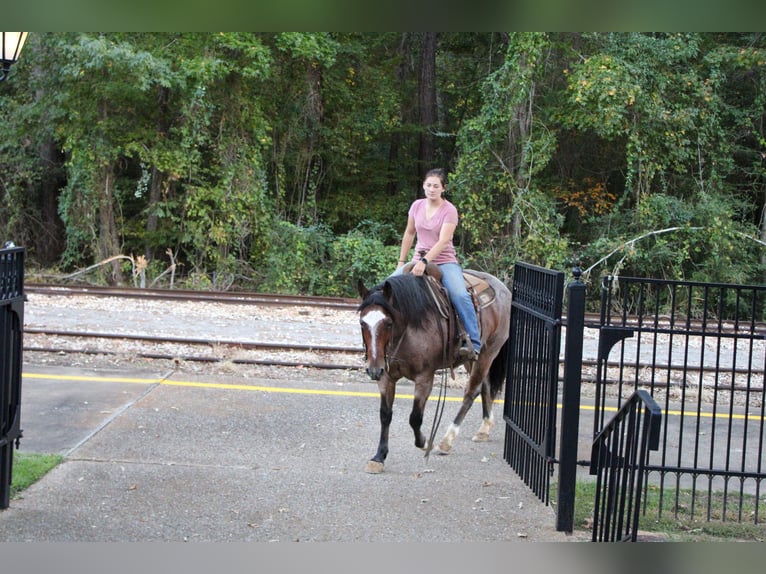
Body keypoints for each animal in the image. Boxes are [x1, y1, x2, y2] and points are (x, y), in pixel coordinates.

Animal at [356, 268, 512, 474]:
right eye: (362, 323)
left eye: (388, 323)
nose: (373, 370)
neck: (408, 329)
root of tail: (503, 288)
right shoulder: (386, 377)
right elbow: (385, 415)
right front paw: (378, 457)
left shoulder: (425, 378)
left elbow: (415, 418)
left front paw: (424, 442)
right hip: (473, 360)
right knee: (483, 387)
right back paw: (484, 429)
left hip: (489, 352)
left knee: (470, 392)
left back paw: (446, 441)